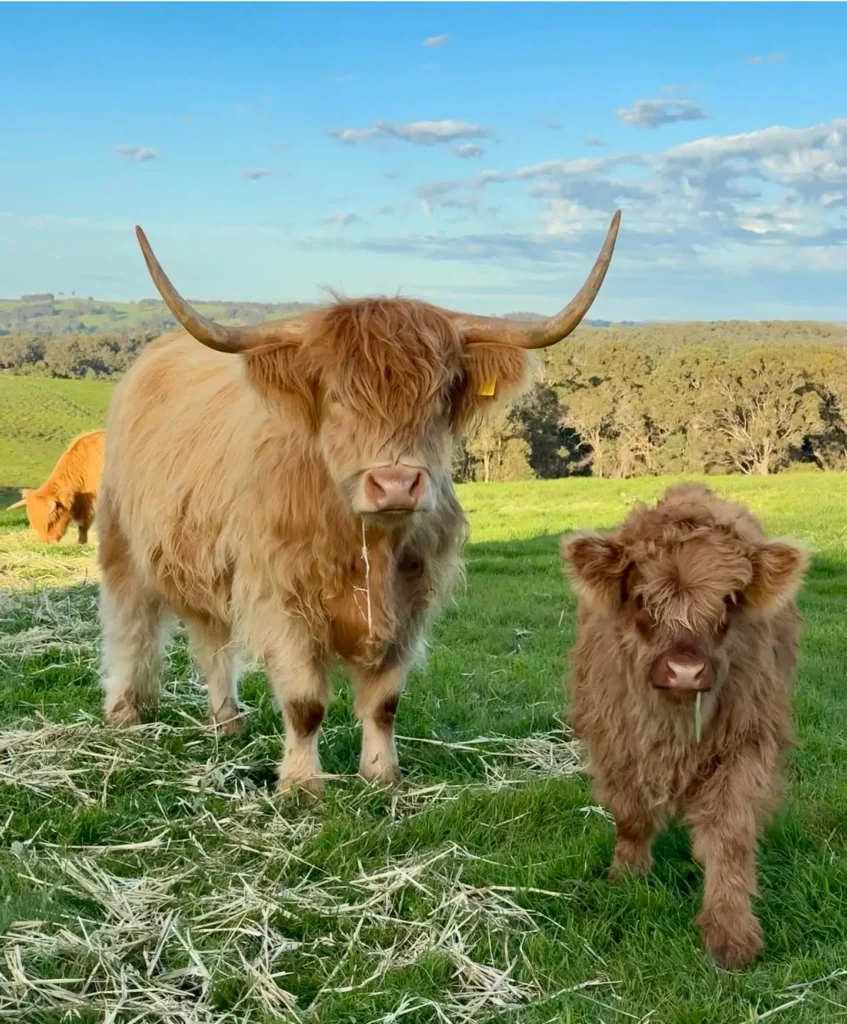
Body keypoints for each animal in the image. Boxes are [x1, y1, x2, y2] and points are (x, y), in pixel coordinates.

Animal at [98, 212, 621, 796]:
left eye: (441, 393)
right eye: (336, 395)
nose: (394, 484)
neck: (365, 542)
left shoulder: (410, 601)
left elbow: (384, 702)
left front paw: (382, 775)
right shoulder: (282, 599)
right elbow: (304, 704)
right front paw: (302, 786)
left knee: (212, 638)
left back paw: (227, 720)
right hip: (121, 542)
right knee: (130, 626)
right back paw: (125, 713)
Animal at [560, 482, 808, 969]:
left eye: (729, 598)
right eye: (641, 598)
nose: (685, 671)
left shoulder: (745, 744)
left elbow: (730, 835)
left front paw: (730, 933)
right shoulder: (615, 742)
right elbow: (631, 817)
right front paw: (626, 875)